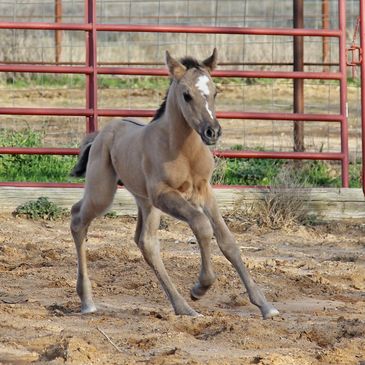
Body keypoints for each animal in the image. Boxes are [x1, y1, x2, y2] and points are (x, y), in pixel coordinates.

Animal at [69, 49, 278, 318]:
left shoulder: (204, 191)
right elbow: (201, 226)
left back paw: (182, 308)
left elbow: (228, 242)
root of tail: (101, 134)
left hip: (145, 201)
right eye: (187, 95)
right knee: (78, 219)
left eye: (215, 92)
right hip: (103, 193)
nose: (212, 131)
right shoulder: (164, 195)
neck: (183, 150)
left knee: (146, 242)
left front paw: (265, 306)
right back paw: (87, 300)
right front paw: (200, 287)